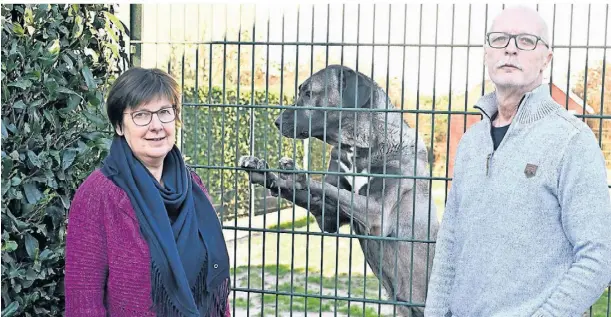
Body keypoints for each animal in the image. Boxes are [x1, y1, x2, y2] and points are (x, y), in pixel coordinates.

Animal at [239, 65, 440, 316]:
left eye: (309, 93)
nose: (276, 122)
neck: (359, 147)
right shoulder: (328, 217)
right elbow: (324, 195)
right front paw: (267, 174)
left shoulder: (376, 212)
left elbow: (330, 189)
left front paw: (297, 175)